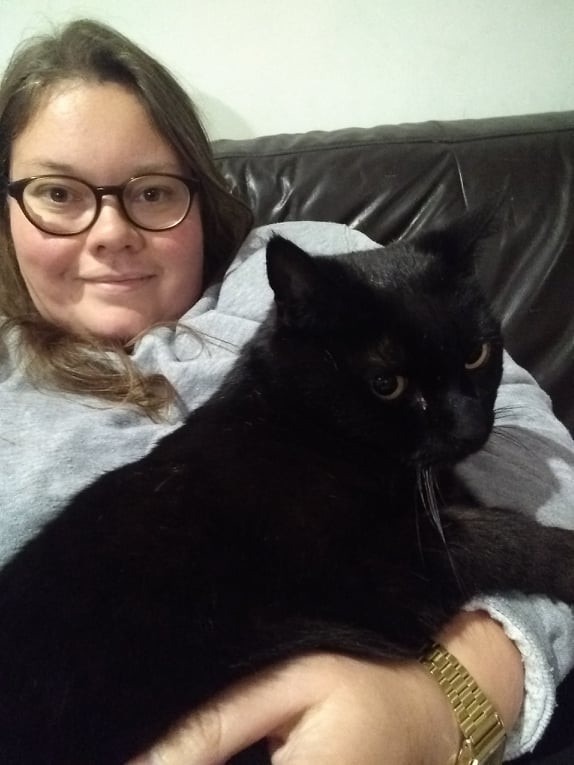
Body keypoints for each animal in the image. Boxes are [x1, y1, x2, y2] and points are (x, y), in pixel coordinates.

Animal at [1, 212, 574, 760]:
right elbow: (490, 534)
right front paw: (562, 556)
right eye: (387, 384)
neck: (300, 426)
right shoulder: (374, 573)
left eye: (477, 354)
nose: (470, 428)